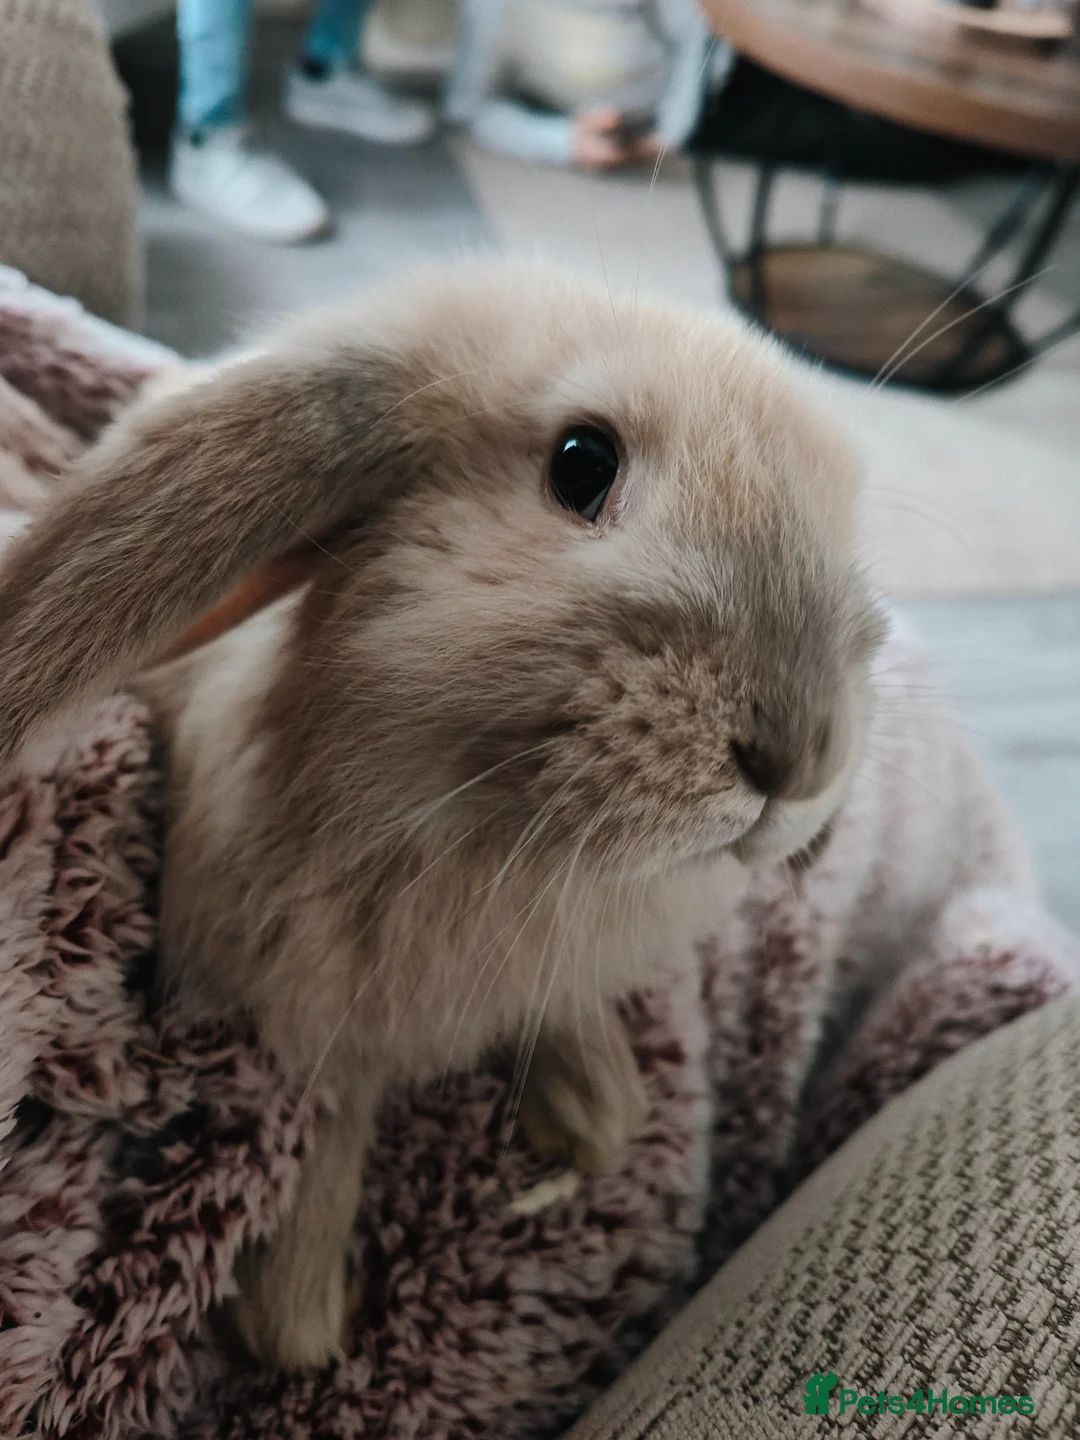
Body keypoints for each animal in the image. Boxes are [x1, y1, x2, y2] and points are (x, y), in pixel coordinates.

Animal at [0, 260, 885, 1370]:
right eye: (581, 464)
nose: (799, 755)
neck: (484, 831)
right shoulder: (311, 1019)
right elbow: (320, 1139)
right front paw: (306, 1316)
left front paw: (590, 1123)